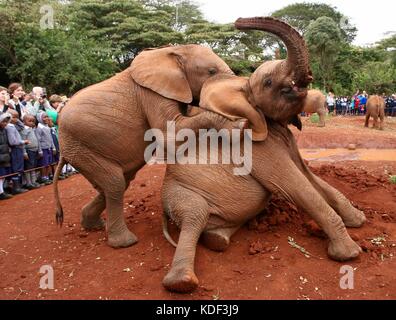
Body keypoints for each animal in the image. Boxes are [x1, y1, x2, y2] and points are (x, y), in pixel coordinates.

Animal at [53, 43, 244, 248]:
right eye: (211, 71)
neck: (174, 51)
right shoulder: (151, 94)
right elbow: (171, 134)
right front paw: (239, 125)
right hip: (81, 145)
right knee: (115, 183)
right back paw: (125, 242)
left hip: (81, 149)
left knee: (120, 181)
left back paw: (94, 225)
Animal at [159, 16, 366, 292]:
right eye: (268, 83)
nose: (237, 22)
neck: (243, 87)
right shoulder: (257, 147)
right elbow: (298, 187)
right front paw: (349, 254)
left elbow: (311, 178)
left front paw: (359, 220)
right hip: (178, 193)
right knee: (194, 215)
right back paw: (182, 282)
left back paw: (217, 239)